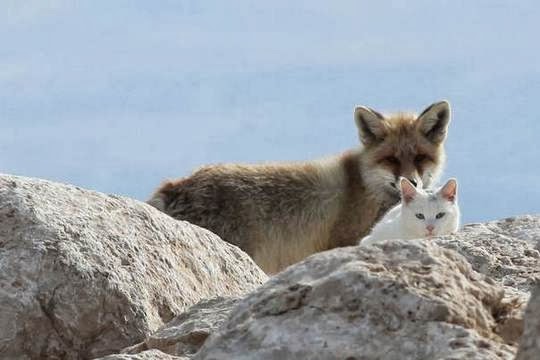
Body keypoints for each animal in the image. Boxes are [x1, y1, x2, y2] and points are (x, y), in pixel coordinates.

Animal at [148, 100, 452, 272]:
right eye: (391, 159)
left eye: (420, 158)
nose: (410, 181)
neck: (366, 186)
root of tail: (175, 184)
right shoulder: (343, 241)